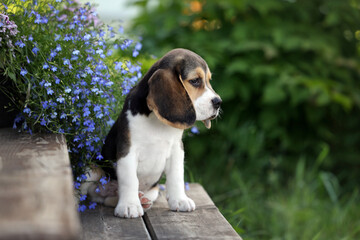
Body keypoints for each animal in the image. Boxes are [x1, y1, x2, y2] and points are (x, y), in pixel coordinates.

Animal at [81, 48, 221, 218]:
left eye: (208, 80)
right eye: (195, 81)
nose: (218, 102)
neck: (157, 122)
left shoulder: (177, 150)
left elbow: (176, 177)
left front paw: (180, 200)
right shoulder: (128, 150)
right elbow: (130, 180)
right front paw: (129, 205)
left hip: (153, 190)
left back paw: (140, 200)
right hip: (90, 170)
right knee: (91, 193)